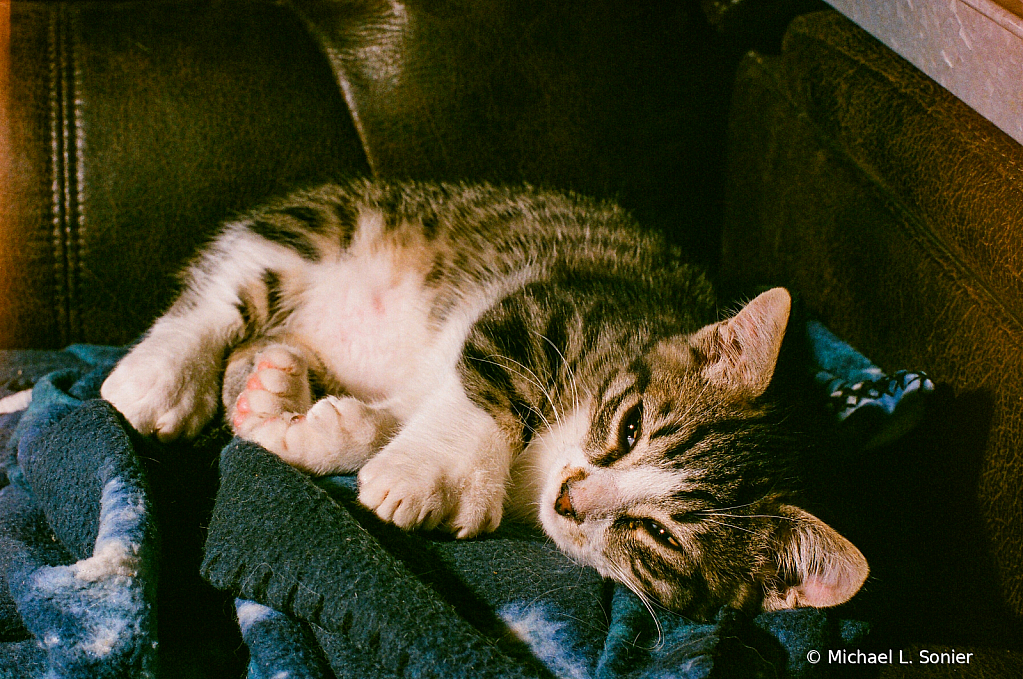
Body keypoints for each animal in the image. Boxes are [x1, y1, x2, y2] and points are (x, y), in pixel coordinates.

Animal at [101, 178, 863, 621]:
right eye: (630, 426)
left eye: (661, 537)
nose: (570, 498)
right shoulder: (549, 308)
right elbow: (487, 384)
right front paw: (431, 475)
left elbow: (394, 416)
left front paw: (310, 431)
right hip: (327, 225)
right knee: (229, 288)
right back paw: (160, 377)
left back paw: (273, 381)